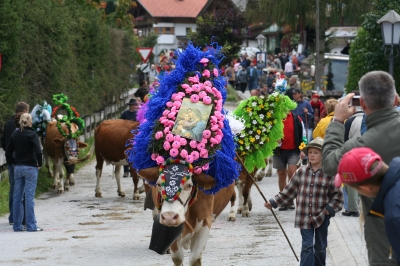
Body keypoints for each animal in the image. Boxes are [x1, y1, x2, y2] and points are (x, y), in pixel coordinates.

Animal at [126, 42, 241, 264]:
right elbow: (177, 256)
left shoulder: (205, 224)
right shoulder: (170, 230)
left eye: (189, 184)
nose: (170, 216)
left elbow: (195, 258)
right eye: (159, 183)